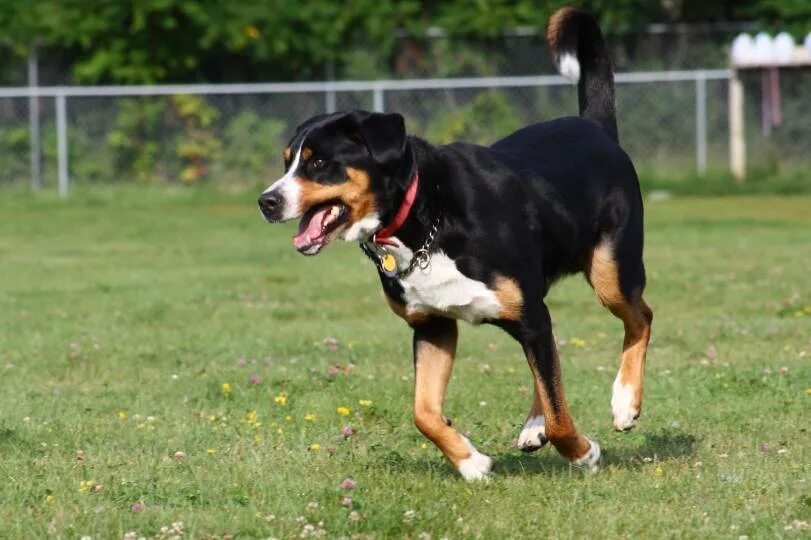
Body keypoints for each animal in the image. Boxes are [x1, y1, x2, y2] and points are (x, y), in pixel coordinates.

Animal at [260, 7, 652, 480]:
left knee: (640, 318)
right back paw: (534, 425)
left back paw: (624, 402)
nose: (266, 201)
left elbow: (561, 413)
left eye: (318, 162)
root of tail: (595, 127)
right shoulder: (434, 325)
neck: (426, 216)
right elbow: (424, 413)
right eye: (288, 162)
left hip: (609, 272)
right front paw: (471, 462)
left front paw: (583, 454)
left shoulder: (526, 316)